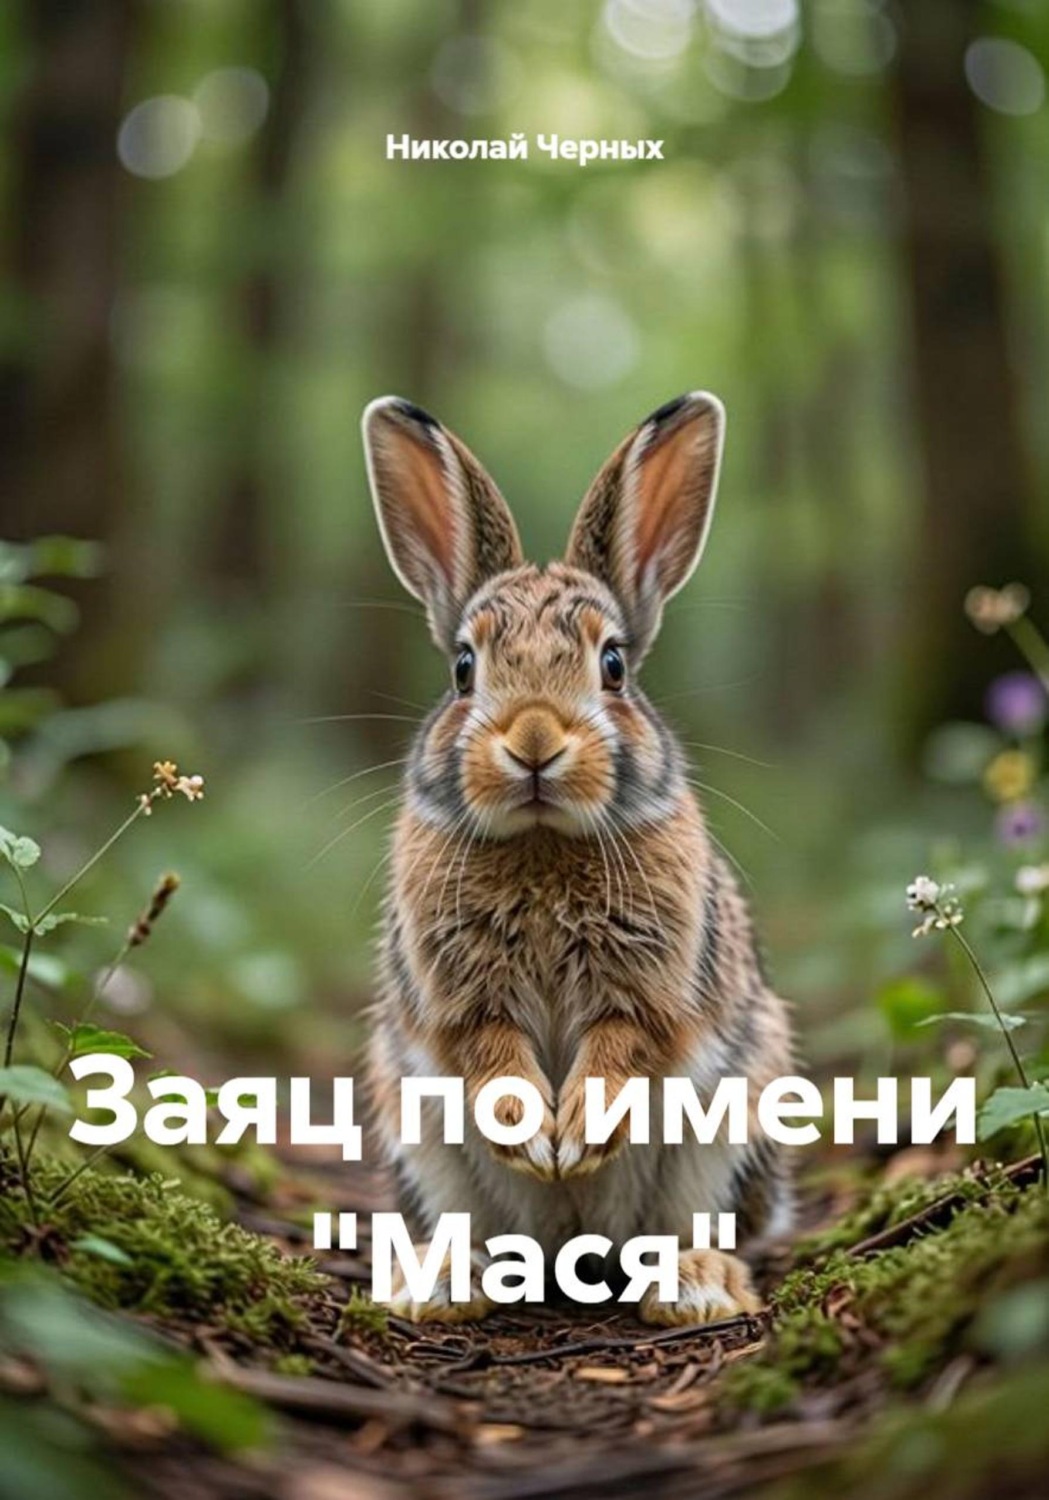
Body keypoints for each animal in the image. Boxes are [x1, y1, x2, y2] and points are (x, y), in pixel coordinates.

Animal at [361, 392, 793, 1325]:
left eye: (613, 664)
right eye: (462, 668)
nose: (533, 741)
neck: (542, 842)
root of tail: (571, 1251)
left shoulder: (652, 989)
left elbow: (624, 1043)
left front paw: (577, 1135)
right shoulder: (457, 999)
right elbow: (487, 1051)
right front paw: (537, 1136)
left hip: (734, 1115)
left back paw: (695, 1285)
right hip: (416, 1129)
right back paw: (443, 1284)